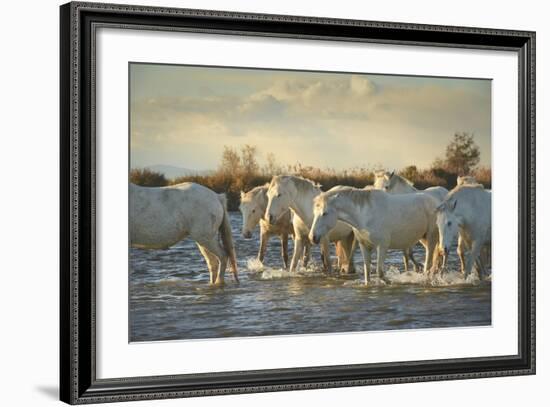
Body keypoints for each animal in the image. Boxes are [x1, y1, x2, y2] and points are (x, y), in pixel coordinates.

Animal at [310, 189, 440, 286]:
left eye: (324, 213)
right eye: (315, 213)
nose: (312, 237)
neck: (365, 215)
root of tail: (435, 202)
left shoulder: (382, 246)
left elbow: (380, 272)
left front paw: (391, 282)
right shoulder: (364, 246)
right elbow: (367, 272)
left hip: (431, 237)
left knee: (428, 263)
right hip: (423, 238)